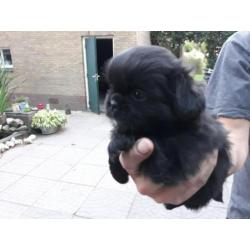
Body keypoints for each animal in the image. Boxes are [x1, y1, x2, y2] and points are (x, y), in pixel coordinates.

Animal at [104, 46, 230, 210]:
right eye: (112, 87)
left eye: (138, 94)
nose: (113, 102)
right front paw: (117, 168)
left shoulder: (179, 156)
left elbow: (156, 149)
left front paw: (122, 140)